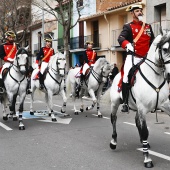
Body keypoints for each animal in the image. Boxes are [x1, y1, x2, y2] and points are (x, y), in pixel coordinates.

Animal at [105, 30, 170, 167]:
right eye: (165, 49)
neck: (155, 76)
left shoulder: (165, 104)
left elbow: (143, 128)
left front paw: (145, 146)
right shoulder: (142, 108)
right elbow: (145, 130)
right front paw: (147, 159)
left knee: (136, 122)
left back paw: (143, 142)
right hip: (115, 103)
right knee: (114, 119)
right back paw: (113, 142)